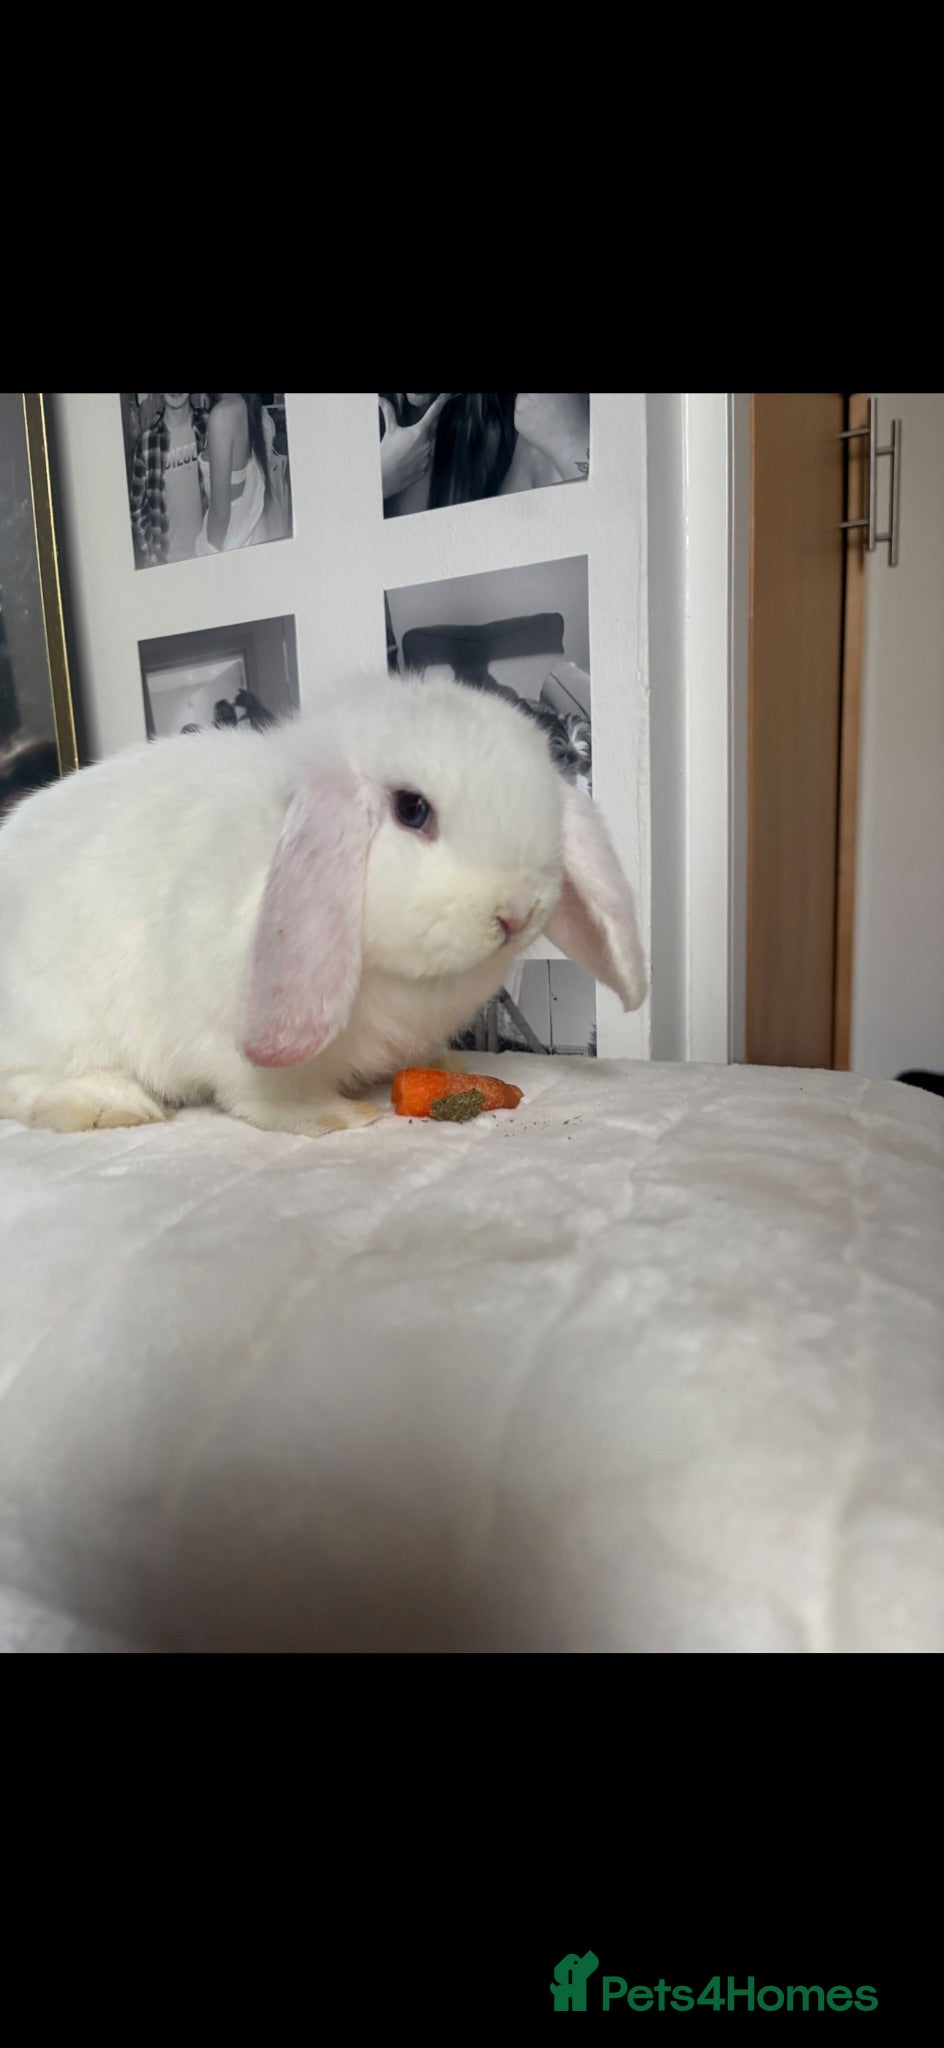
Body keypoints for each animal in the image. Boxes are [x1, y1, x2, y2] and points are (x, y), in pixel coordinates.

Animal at [0, 668, 647, 1137]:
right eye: (412, 809)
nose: (517, 911)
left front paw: (450, 1067)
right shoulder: (236, 1040)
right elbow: (269, 1096)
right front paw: (339, 1117)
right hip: (57, 1021)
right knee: (32, 1082)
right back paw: (112, 1108)